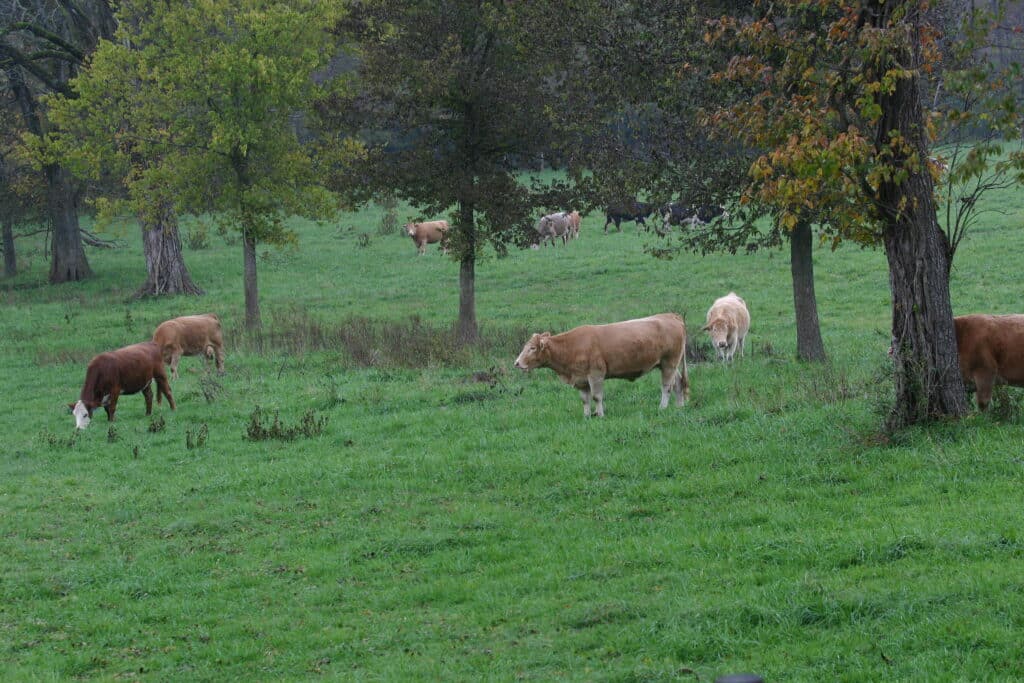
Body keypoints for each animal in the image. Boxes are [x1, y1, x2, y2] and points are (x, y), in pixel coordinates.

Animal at [514, 313, 690, 418]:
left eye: (532, 348)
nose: (517, 363)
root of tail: (671, 315)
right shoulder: (581, 379)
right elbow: (585, 399)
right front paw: (586, 416)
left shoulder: (595, 374)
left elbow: (596, 396)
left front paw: (600, 415)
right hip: (669, 365)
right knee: (678, 383)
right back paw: (679, 406)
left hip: (669, 362)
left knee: (667, 386)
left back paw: (662, 407)